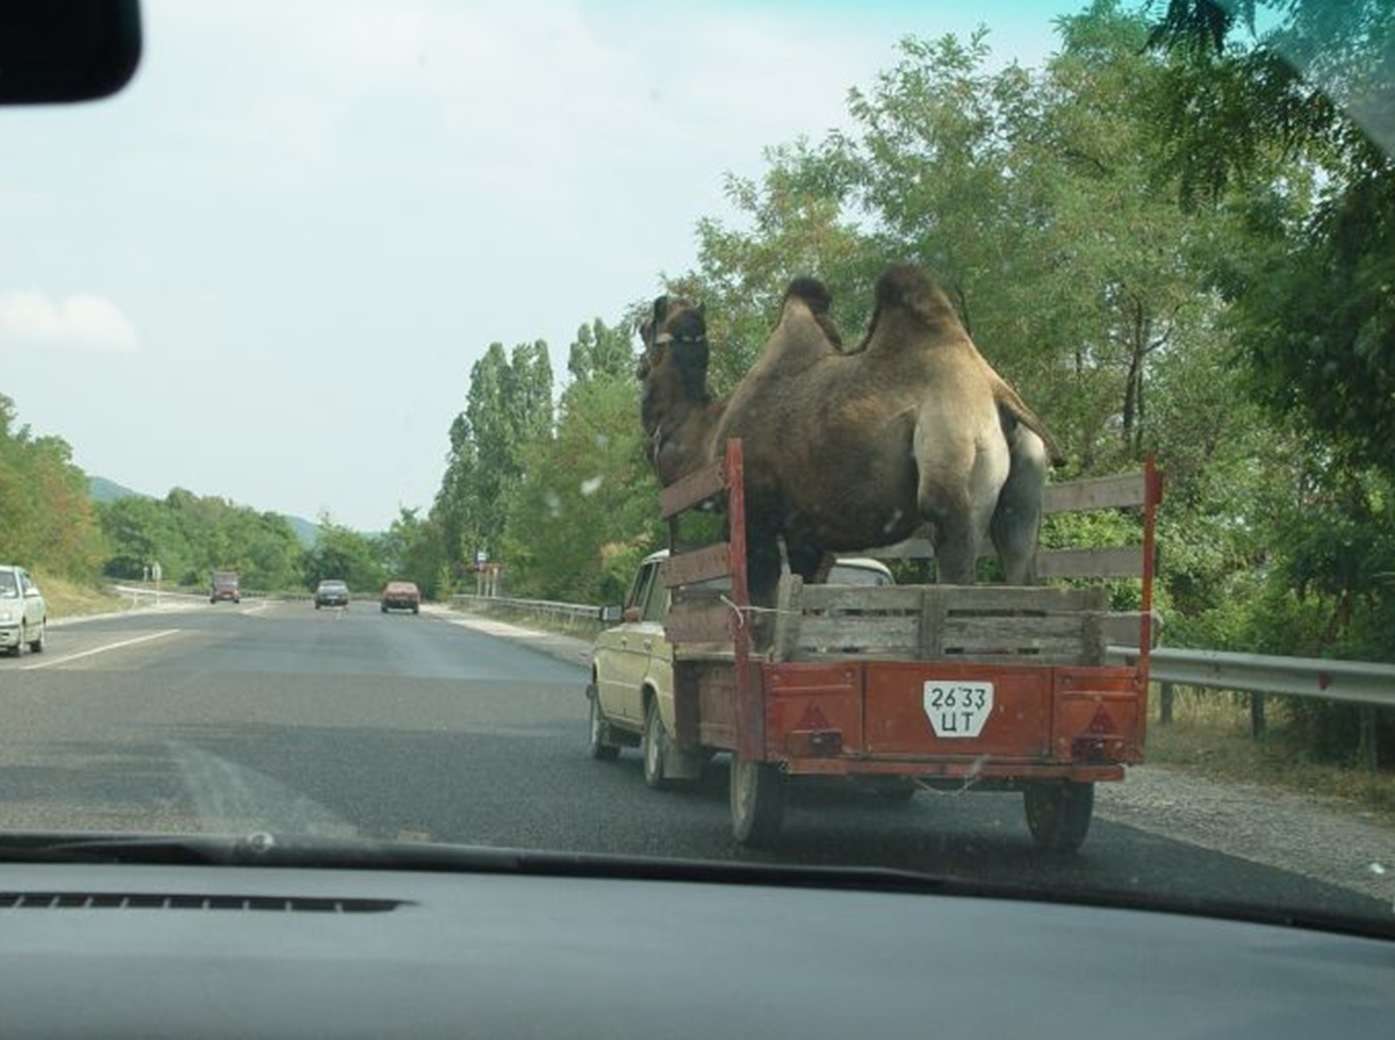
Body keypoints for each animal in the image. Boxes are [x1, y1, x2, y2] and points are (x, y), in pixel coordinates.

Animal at [638, 263, 1054, 605]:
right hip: (1023, 494)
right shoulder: (806, 534)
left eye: (645, 328)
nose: (639, 365)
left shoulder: (756, 517)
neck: (707, 436)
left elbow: (762, 610)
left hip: (954, 469)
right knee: (1020, 562)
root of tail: (997, 395)